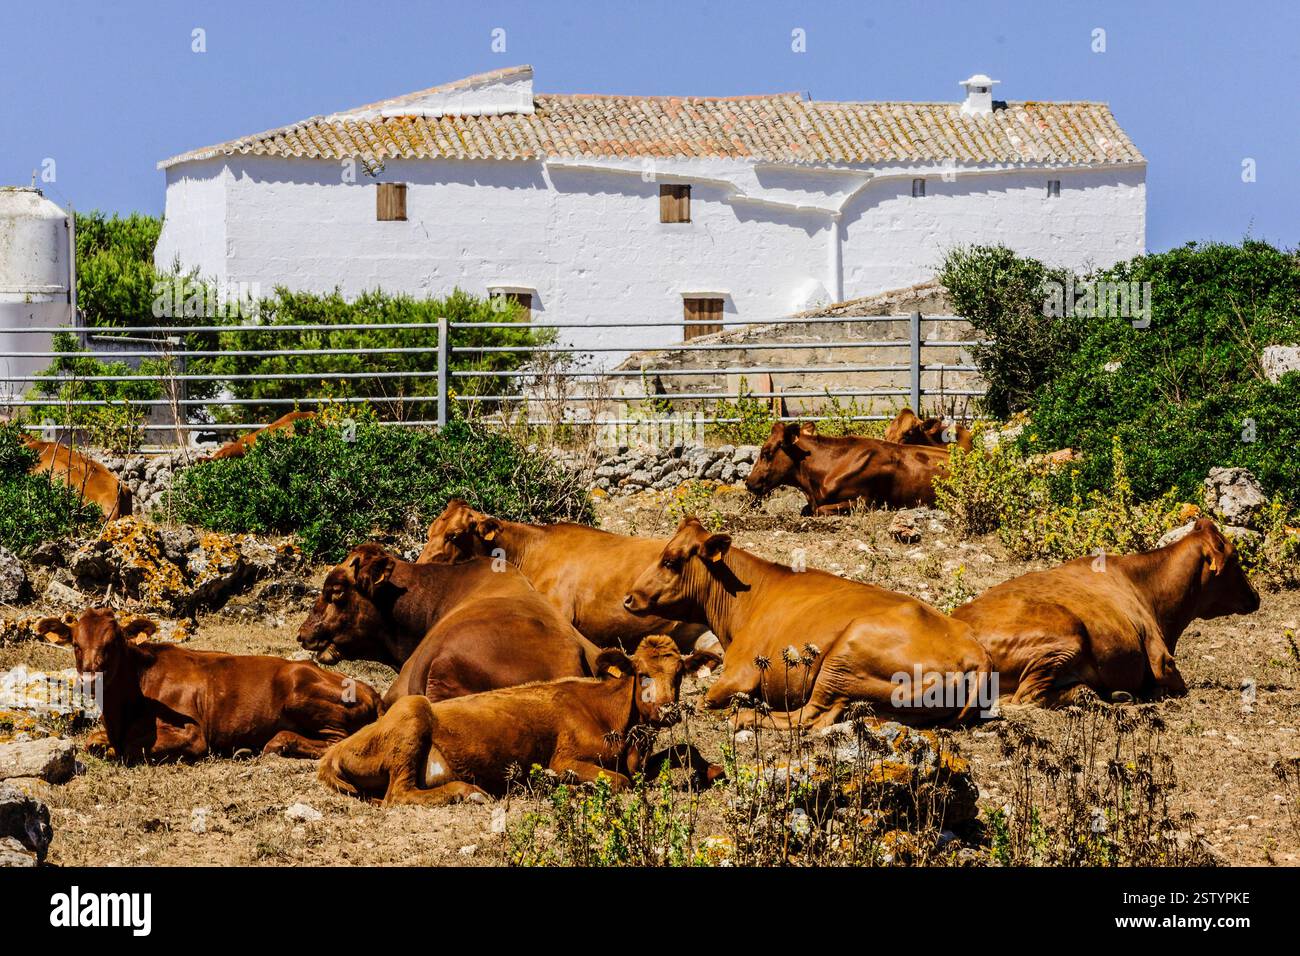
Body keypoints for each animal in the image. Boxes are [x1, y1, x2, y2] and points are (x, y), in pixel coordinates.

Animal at [35, 607, 380, 762]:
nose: (90, 677)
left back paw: (278, 743)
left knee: (339, 741)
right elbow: (92, 741)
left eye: (113, 643)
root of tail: (368, 688)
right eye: (76, 645)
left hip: (299, 692)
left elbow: (131, 748)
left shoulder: (194, 734)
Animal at [317, 635, 721, 806]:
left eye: (679, 674)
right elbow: (620, 782)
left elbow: (685, 749)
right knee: (398, 794)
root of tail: (334, 751)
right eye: (642, 675)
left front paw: (713, 772)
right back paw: (467, 792)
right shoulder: (566, 759)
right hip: (412, 715)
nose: (667, 710)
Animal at [623, 516, 994, 729]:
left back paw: (745, 717)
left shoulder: (740, 673)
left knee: (808, 717)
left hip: (841, 659)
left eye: (671, 561)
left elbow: (703, 701)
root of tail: (974, 651)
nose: (629, 598)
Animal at [952, 518, 1260, 707]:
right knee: (1025, 696)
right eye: (1235, 557)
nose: (1255, 597)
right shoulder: (1163, 662)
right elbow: (1171, 686)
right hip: (1067, 636)